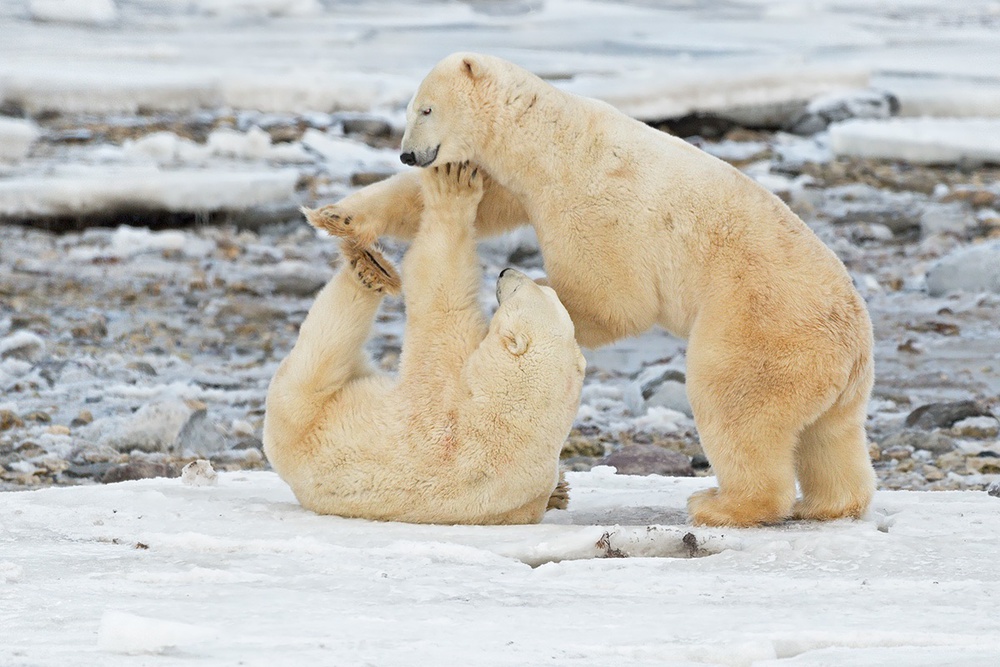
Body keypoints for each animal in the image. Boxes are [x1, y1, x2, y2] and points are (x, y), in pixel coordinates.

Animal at [262, 163, 584, 528]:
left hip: (302, 414)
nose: (505, 272)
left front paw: (453, 186)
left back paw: (371, 270)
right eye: (546, 291)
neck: (515, 419)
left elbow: (438, 290)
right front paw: (557, 490)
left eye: (520, 290)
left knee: (321, 348)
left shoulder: (446, 395)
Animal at [312, 51, 876, 528]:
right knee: (831, 437)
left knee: (734, 407)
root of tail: (852, 346)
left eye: (426, 108)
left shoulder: (594, 198)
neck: (553, 140)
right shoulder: (523, 184)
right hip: (834, 378)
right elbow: (482, 203)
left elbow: (613, 299)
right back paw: (828, 503)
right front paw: (338, 216)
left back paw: (719, 504)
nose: (408, 154)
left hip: (759, 330)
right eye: (411, 109)